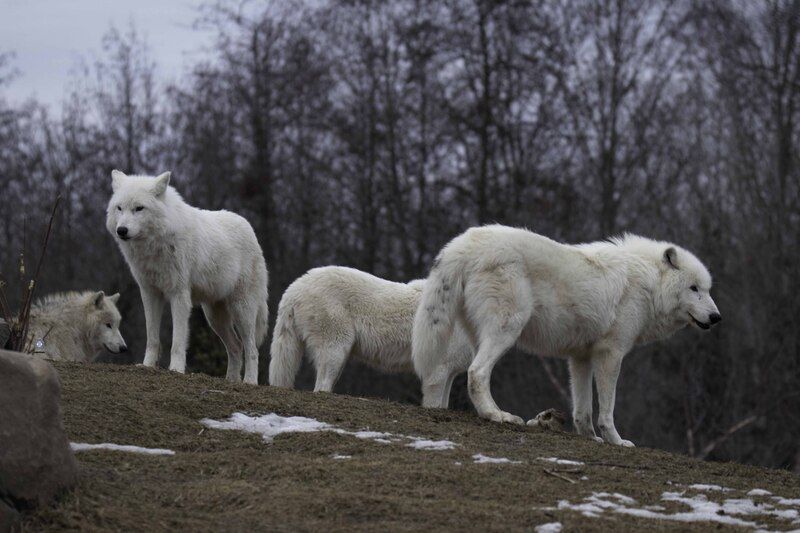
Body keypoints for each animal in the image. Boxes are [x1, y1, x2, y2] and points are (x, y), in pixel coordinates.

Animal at [106, 170, 269, 384]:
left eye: (139, 208)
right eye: (119, 208)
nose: (122, 230)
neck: (155, 245)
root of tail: (249, 228)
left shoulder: (179, 295)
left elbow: (178, 340)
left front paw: (176, 369)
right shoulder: (150, 294)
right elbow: (152, 337)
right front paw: (147, 365)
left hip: (243, 311)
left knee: (251, 349)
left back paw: (249, 381)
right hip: (214, 317)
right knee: (236, 347)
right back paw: (231, 381)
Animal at [269, 266, 473, 407]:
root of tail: (293, 289)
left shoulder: (450, 371)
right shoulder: (437, 368)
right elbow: (434, 403)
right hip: (336, 345)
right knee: (321, 385)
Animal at [412, 225, 721, 446]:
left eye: (707, 289)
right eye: (694, 289)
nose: (717, 317)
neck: (650, 284)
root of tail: (463, 244)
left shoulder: (580, 358)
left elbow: (582, 411)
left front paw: (590, 438)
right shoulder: (610, 354)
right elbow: (607, 410)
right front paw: (616, 440)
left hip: (482, 336)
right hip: (506, 330)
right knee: (476, 373)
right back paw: (497, 415)